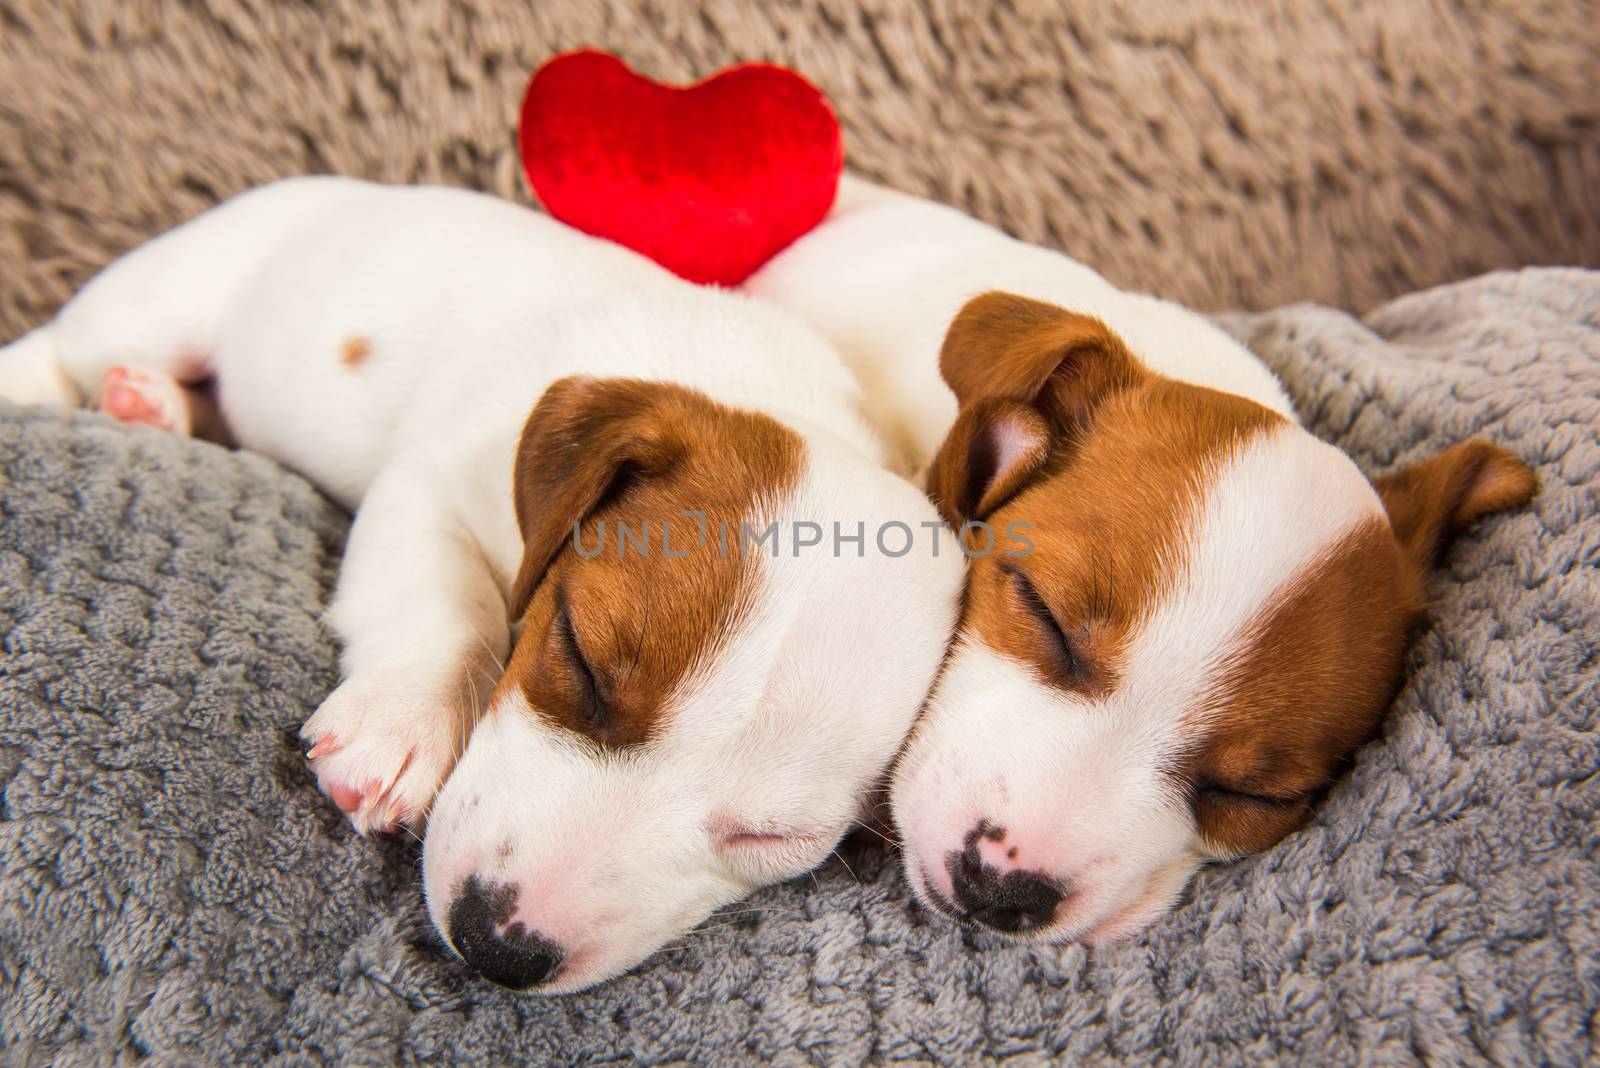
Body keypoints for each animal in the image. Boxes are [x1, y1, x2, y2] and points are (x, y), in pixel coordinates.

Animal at [0, 177, 960, 991]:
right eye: (579, 662)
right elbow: (450, 609)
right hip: (164, 297)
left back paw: (151, 405)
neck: (758, 390)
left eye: (774, 837)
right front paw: (400, 724)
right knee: (65, 345)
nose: (498, 945)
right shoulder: (432, 482)